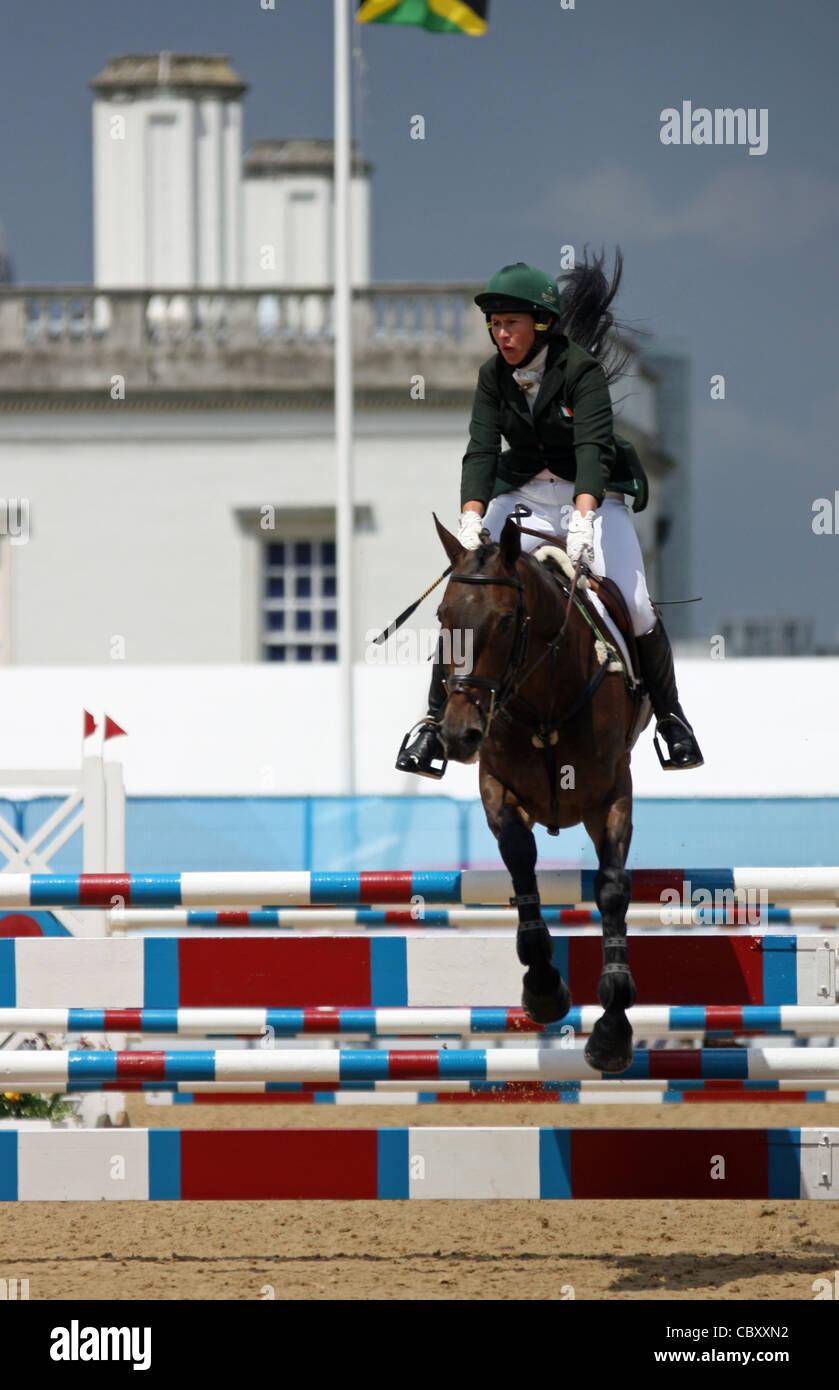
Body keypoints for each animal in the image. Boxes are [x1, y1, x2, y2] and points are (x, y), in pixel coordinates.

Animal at [433, 514, 650, 1073]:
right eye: (443, 617)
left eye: (508, 621)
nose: (459, 735)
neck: (545, 704)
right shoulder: (497, 787)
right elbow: (519, 859)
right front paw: (545, 989)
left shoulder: (612, 795)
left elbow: (612, 888)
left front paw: (613, 1027)